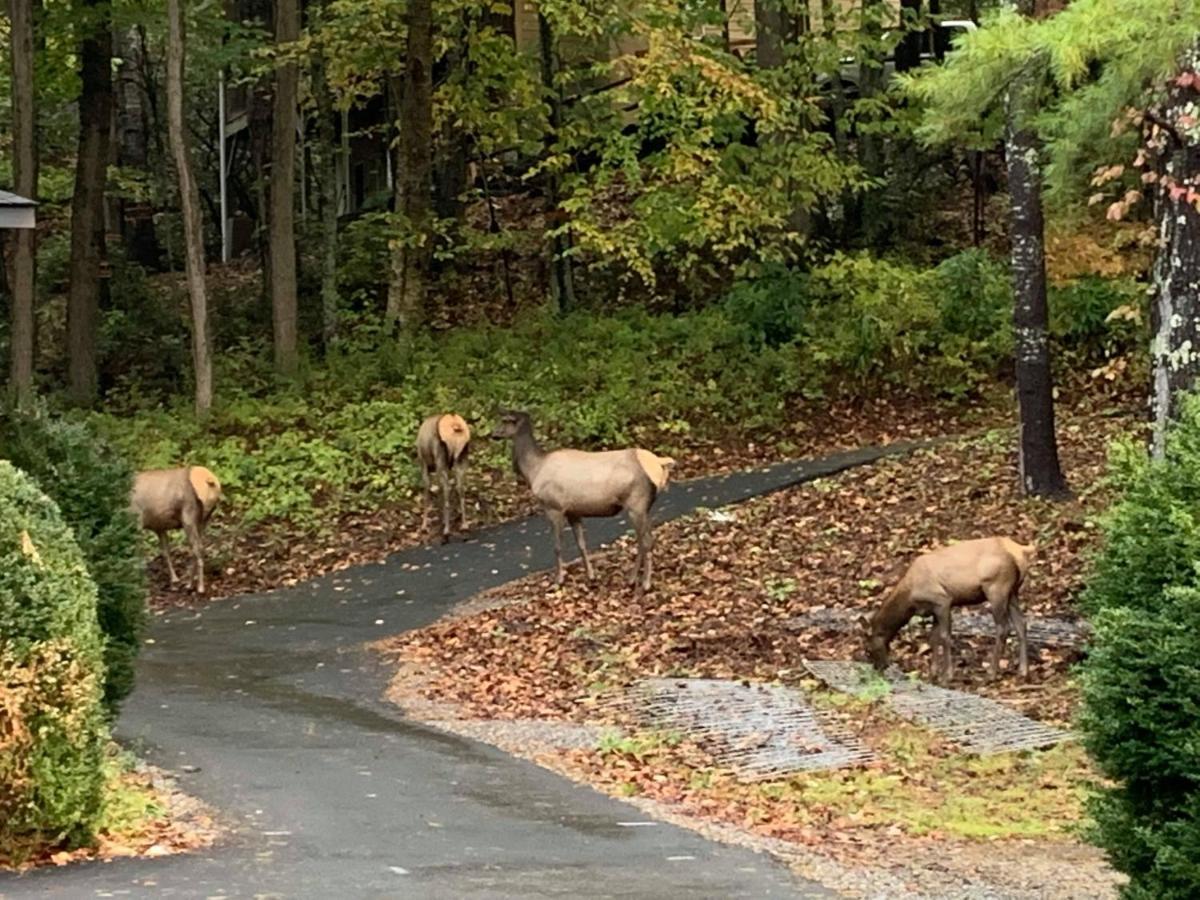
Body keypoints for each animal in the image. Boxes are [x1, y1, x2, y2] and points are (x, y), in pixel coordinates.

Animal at [859, 535, 1036, 681]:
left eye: (868, 649)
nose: (879, 668)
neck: (910, 599)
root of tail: (1020, 551)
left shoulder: (942, 600)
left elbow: (944, 636)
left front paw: (947, 675)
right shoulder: (934, 610)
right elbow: (933, 637)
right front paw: (933, 672)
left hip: (996, 587)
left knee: (1003, 627)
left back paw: (992, 673)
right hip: (1012, 591)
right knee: (1021, 623)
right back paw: (1023, 671)